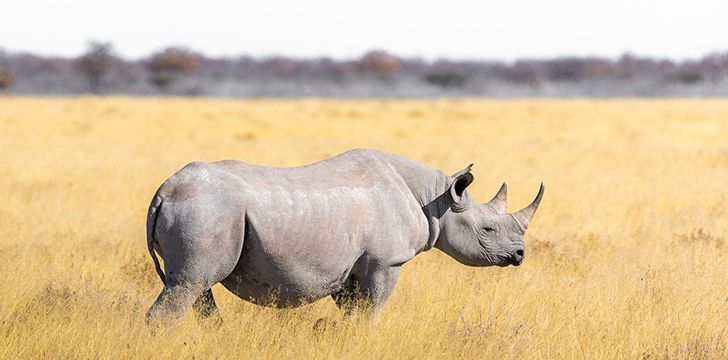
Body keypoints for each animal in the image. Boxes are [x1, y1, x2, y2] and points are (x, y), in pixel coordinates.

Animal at [145, 149, 544, 324]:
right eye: (488, 230)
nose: (520, 255)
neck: (437, 198)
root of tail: (164, 191)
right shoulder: (385, 262)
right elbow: (371, 312)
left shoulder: (353, 266)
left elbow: (353, 313)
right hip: (208, 210)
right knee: (188, 284)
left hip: (209, 212)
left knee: (196, 287)